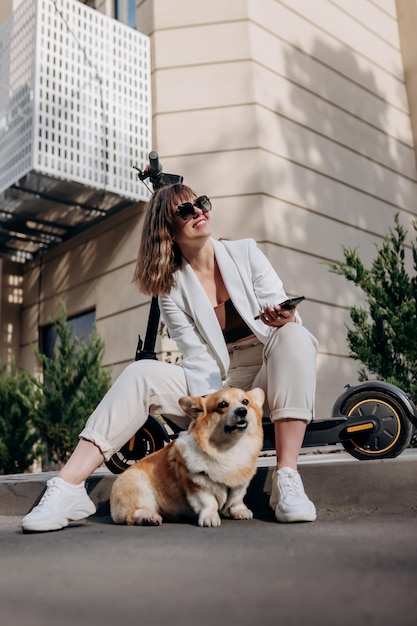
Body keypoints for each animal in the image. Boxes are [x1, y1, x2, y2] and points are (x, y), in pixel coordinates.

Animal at [109, 386, 262, 528]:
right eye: (222, 404)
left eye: (245, 401)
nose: (242, 410)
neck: (230, 448)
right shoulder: (195, 483)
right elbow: (208, 501)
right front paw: (210, 517)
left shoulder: (241, 483)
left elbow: (237, 498)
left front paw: (240, 511)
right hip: (138, 484)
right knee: (133, 513)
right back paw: (149, 517)